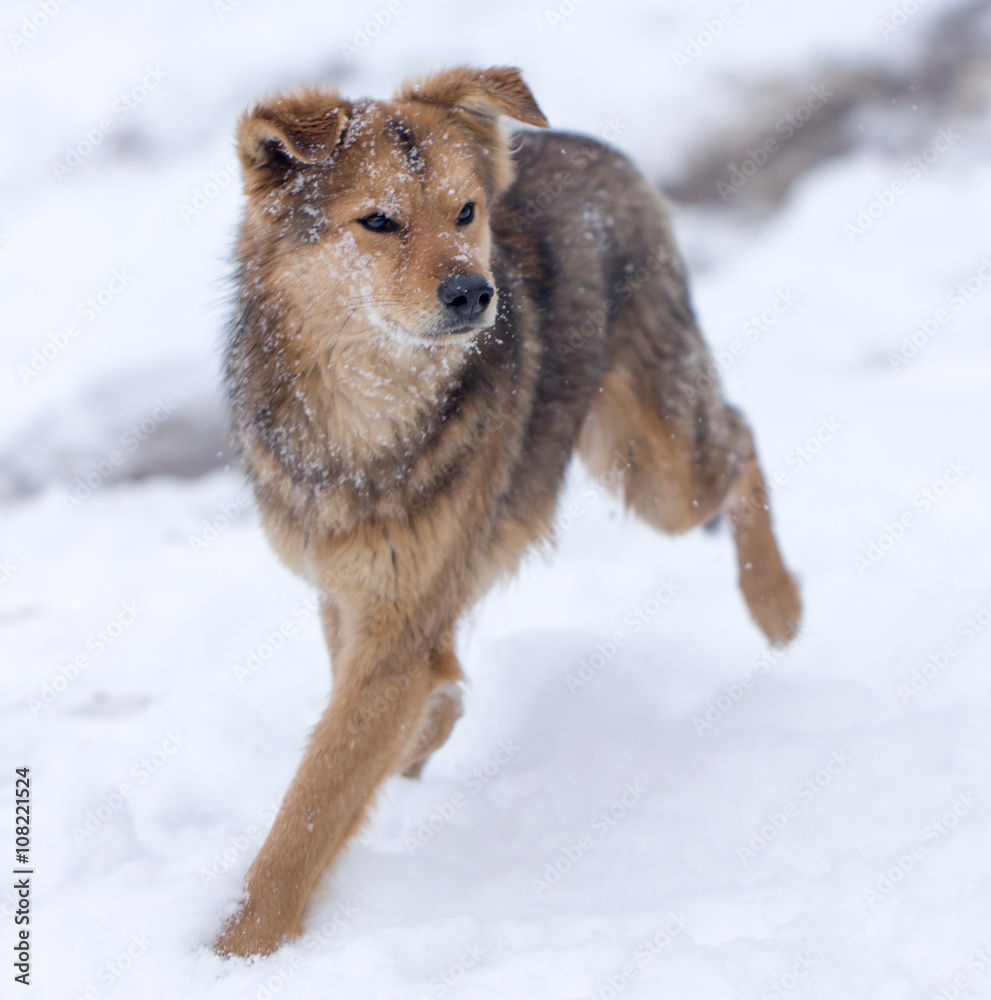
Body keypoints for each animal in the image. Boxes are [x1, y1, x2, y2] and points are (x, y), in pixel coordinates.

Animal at [213, 66, 804, 956]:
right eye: (378, 221)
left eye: (464, 212)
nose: (472, 292)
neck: (361, 422)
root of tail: (582, 144)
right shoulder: (352, 594)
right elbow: (376, 731)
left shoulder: (396, 626)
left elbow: (310, 807)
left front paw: (237, 950)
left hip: (656, 472)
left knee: (738, 441)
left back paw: (776, 603)